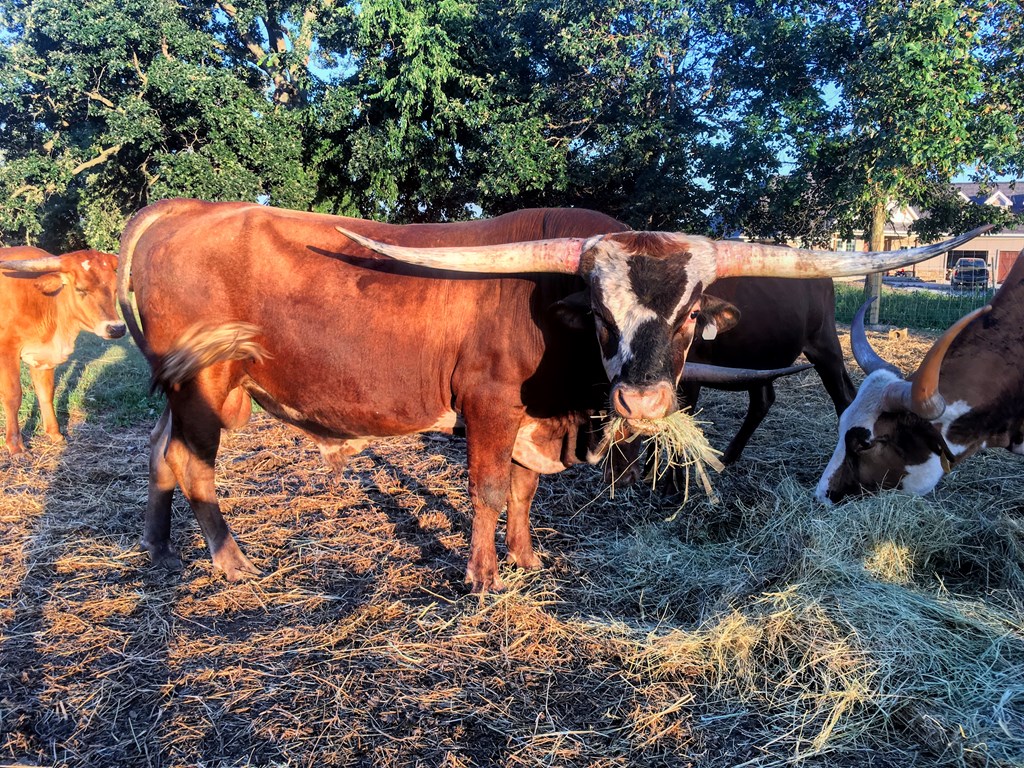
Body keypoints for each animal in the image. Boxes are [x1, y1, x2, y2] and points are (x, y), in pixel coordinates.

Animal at [0, 247, 126, 455]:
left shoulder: (43, 357)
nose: (117, 328)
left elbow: (46, 393)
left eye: (115, 289)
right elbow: (13, 395)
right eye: (80, 289)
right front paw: (15, 445)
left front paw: (54, 433)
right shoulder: (6, 351)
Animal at [118, 198, 987, 592]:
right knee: (195, 466)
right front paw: (482, 577)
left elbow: (524, 493)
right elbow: (487, 489)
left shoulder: (536, 423)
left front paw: (528, 558)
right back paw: (230, 560)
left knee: (160, 455)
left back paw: (158, 547)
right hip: (204, 387)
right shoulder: (490, 411)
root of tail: (180, 209)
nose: (644, 404)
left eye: (691, 318)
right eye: (601, 316)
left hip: (182, 390)